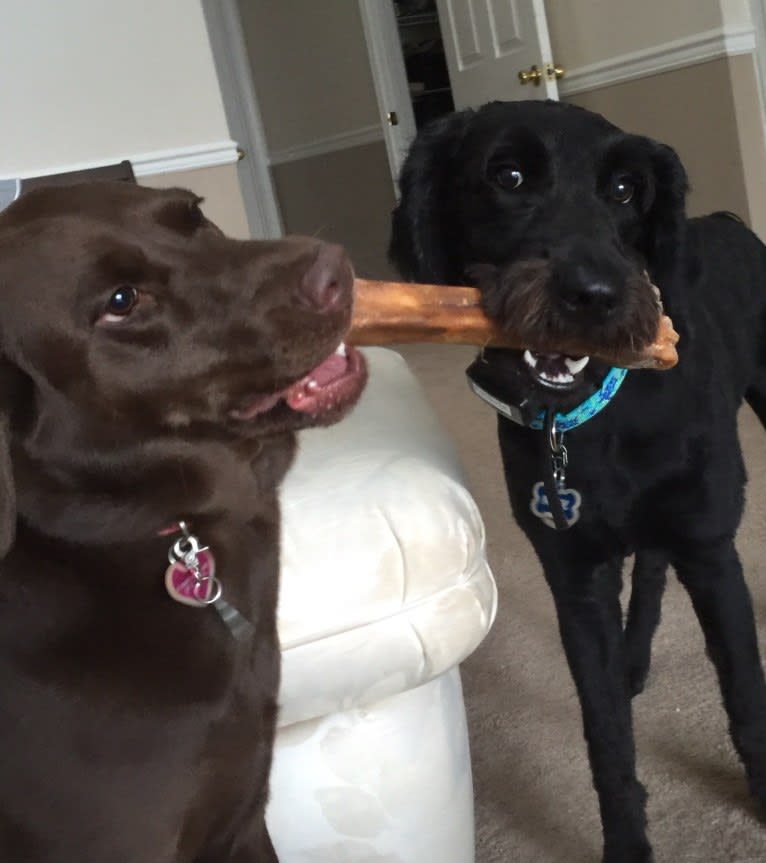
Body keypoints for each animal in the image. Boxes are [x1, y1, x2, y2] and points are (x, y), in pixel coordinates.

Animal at [392, 98, 766, 860]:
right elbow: (606, 734)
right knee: (648, 568)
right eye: (506, 175)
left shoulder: (710, 550)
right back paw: (634, 657)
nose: (594, 295)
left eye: (624, 191)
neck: (591, 422)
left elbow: (745, 694)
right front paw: (625, 841)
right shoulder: (575, 577)